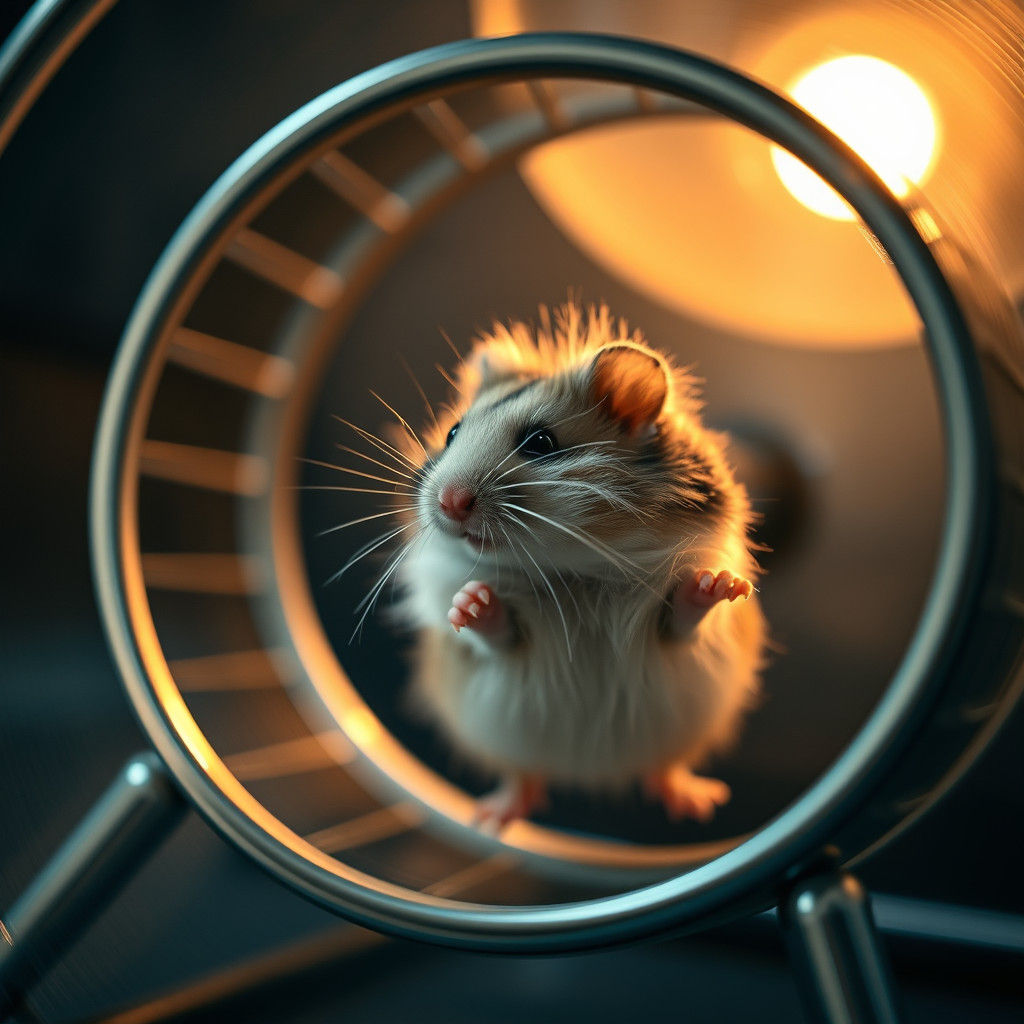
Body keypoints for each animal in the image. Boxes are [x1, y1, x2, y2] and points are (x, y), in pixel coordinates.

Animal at [387, 303, 767, 829]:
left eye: (541, 442)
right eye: (452, 433)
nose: (448, 503)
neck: (574, 568)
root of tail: (588, 775)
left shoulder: (675, 631)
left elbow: (686, 615)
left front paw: (718, 583)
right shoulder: (493, 646)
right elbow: (492, 631)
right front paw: (472, 601)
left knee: (663, 768)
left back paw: (698, 806)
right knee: (523, 776)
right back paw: (492, 818)